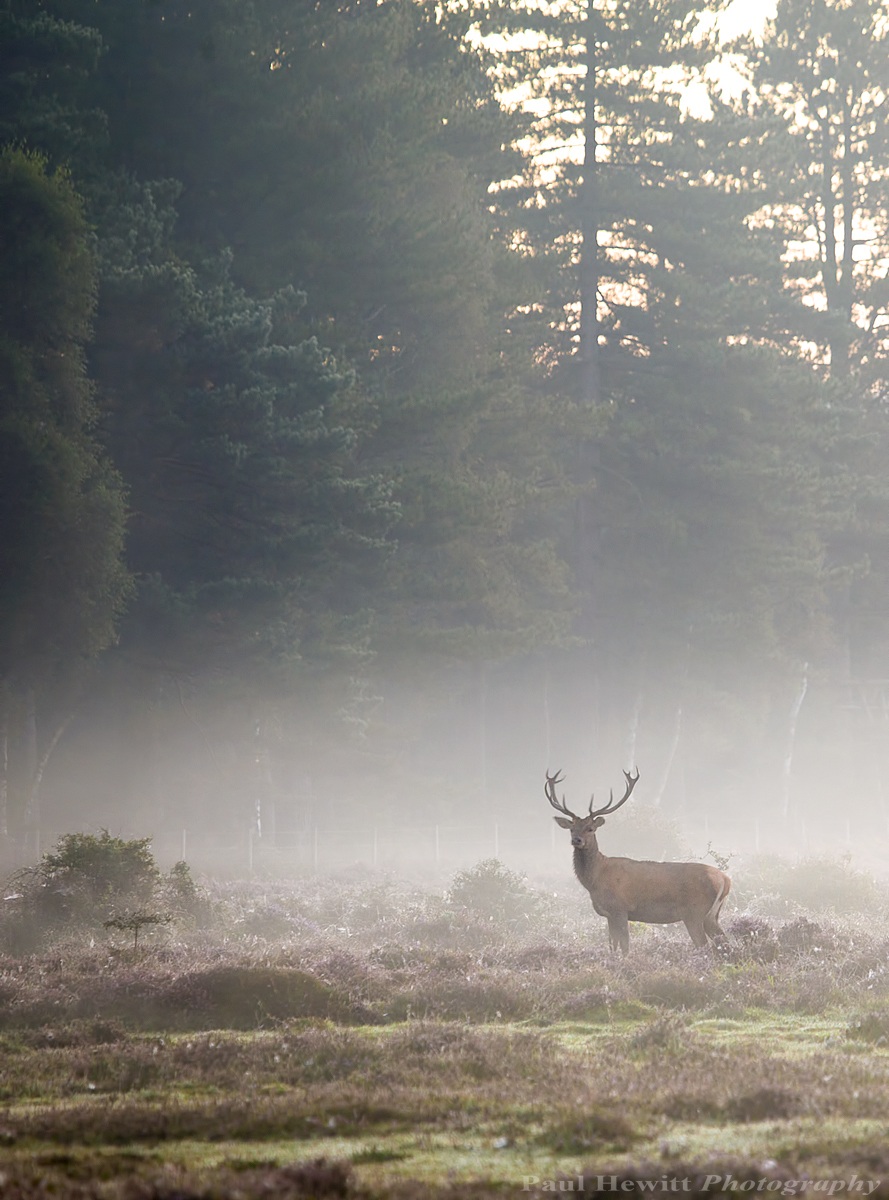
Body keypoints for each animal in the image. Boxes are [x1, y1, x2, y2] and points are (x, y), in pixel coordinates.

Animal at [545, 768, 730, 954]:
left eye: (590, 828)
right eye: (571, 829)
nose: (576, 840)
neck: (595, 880)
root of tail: (725, 879)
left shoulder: (620, 909)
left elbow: (625, 947)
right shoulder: (609, 915)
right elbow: (612, 947)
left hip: (694, 912)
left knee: (705, 945)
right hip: (711, 915)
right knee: (724, 944)